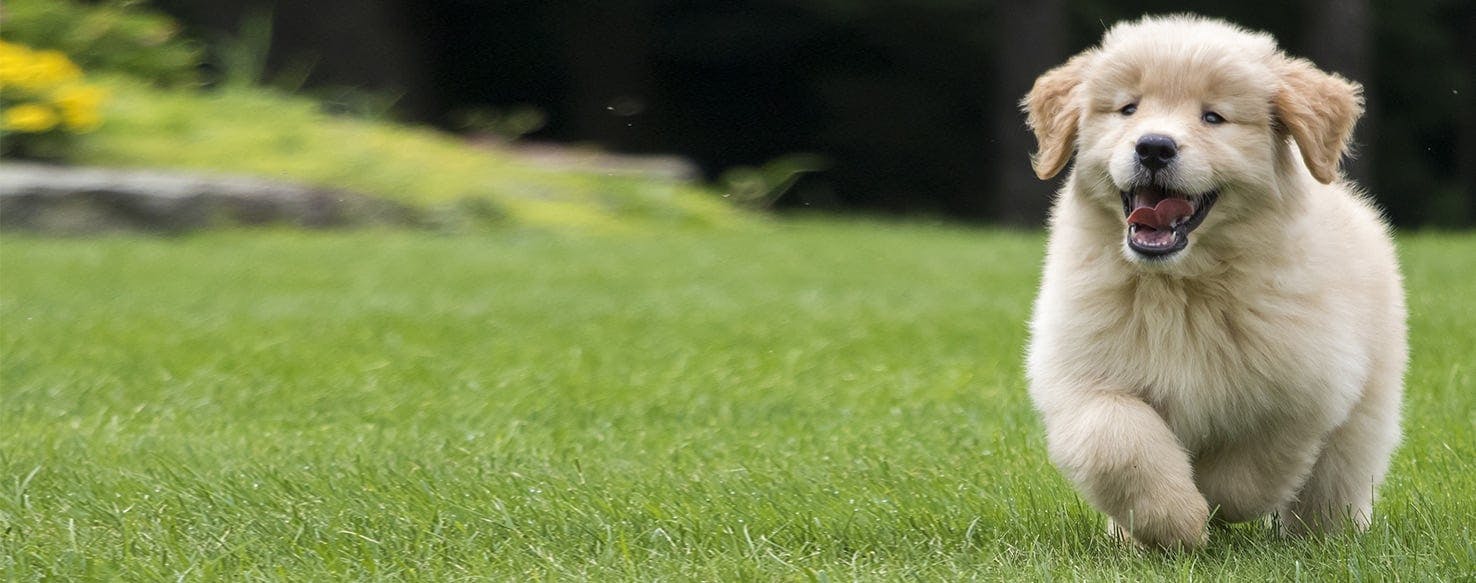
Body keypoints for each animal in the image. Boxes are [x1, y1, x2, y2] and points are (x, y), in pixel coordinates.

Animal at [1021, 14, 1399, 552]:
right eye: (1128, 108)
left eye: (1214, 117)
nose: (1153, 146)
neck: (1179, 284)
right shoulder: (1085, 374)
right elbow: (1117, 443)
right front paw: (1175, 521)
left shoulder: (1303, 389)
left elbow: (1245, 472)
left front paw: (1208, 506)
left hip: (1367, 410)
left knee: (1336, 482)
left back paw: (1329, 539)